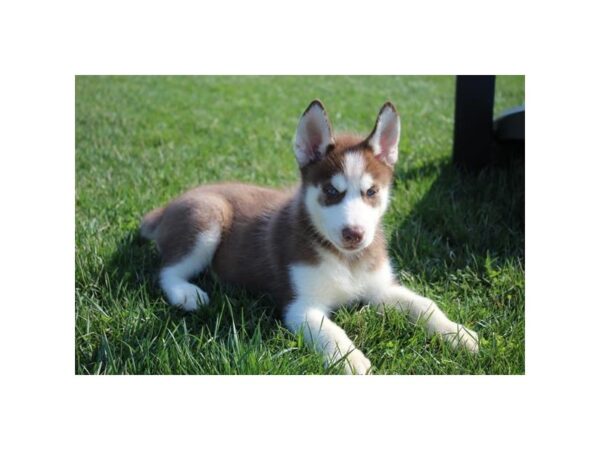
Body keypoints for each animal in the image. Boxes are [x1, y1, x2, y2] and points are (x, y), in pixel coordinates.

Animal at [141, 100, 478, 374]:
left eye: (371, 192)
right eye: (331, 191)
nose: (354, 234)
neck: (346, 260)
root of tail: (171, 204)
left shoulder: (380, 288)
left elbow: (424, 305)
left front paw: (457, 333)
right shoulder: (300, 306)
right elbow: (331, 331)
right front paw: (351, 360)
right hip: (207, 217)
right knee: (166, 271)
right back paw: (187, 293)